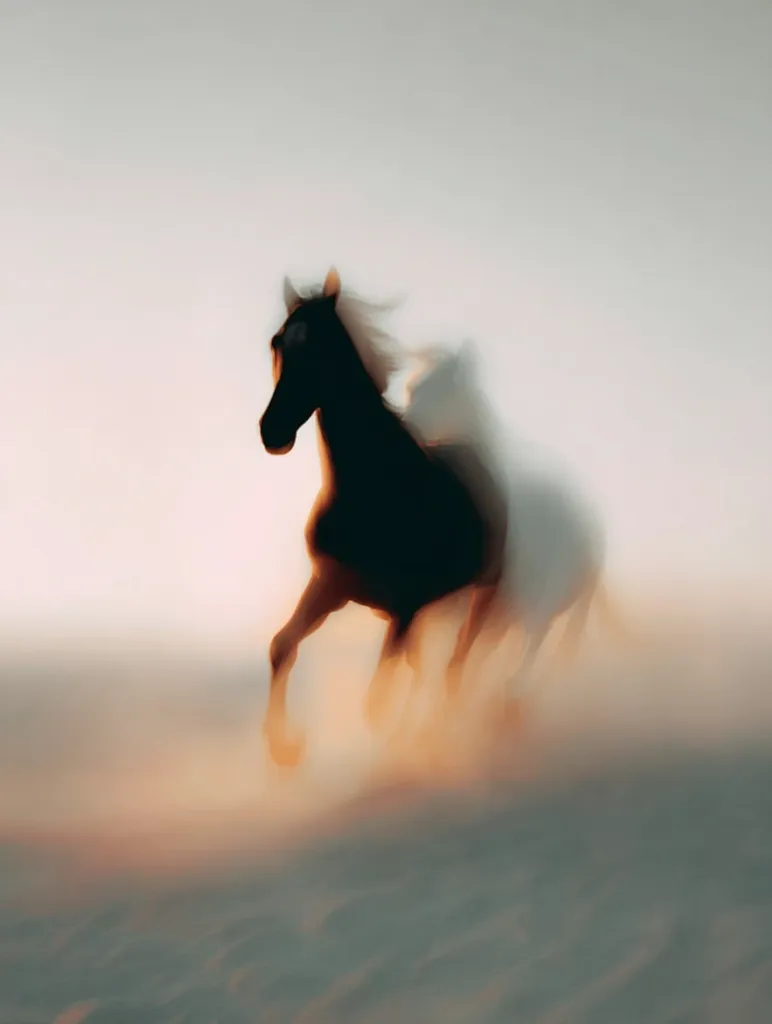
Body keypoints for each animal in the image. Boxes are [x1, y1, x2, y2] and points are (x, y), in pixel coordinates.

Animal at [257, 268, 509, 767]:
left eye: (321, 345)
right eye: (277, 341)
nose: (272, 431)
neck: (373, 491)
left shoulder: (405, 607)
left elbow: (376, 703)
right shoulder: (331, 586)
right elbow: (282, 647)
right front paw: (285, 750)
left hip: (481, 596)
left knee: (453, 667)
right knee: (424, 668)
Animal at [402, 340, 628, 703]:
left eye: (440, 387)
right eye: (412, 388)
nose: (405, 425)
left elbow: (449, 664)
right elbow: (427, 665)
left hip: (558, 604)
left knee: (543, 648)